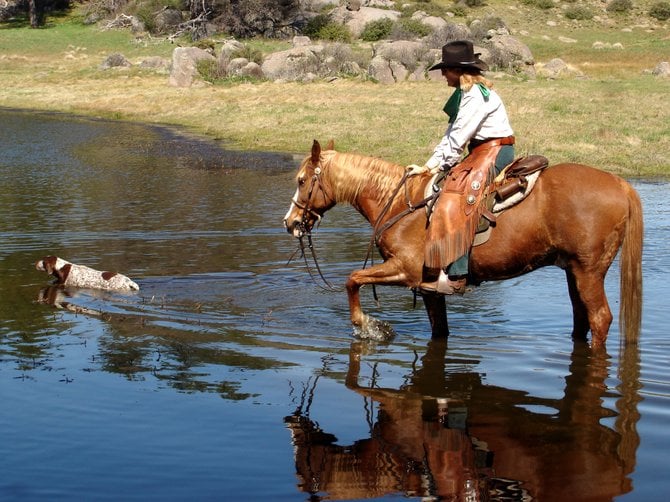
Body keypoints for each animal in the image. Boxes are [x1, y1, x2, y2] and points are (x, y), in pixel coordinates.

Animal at [284, 139, 644, 348]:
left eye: (302, 181)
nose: (290, 223)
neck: (400, 203)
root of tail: (620, 184)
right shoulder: (429, 289)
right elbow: (439, 331)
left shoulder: (404, 271)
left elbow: (352, 280)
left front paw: (369, 326)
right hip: (573, 271)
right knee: (581, 318)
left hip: (588, 270)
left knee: (600, 319)